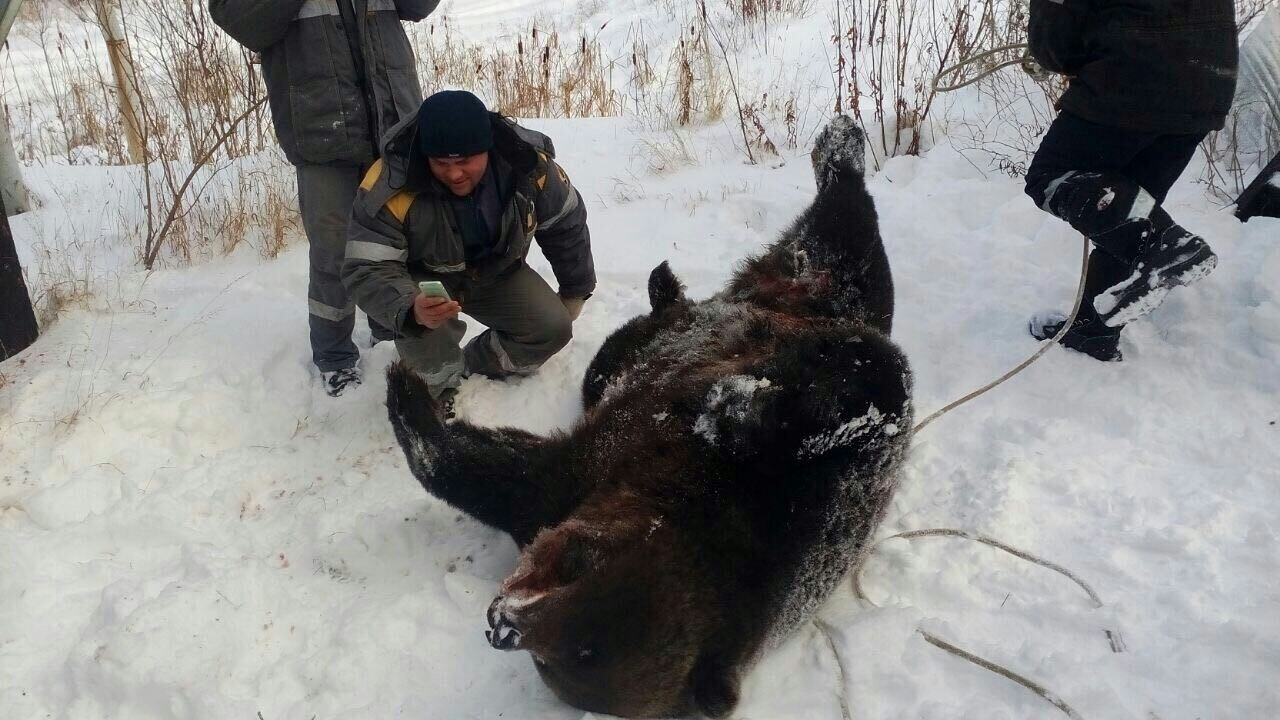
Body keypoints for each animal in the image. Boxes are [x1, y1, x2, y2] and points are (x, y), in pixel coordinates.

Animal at [384, 114, 916, 712]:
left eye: (577, 653)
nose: (503, 626)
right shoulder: (587, 475)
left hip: (835, 297)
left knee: (848, 241)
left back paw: (839, 152)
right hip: (791, 297)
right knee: (840, 240)